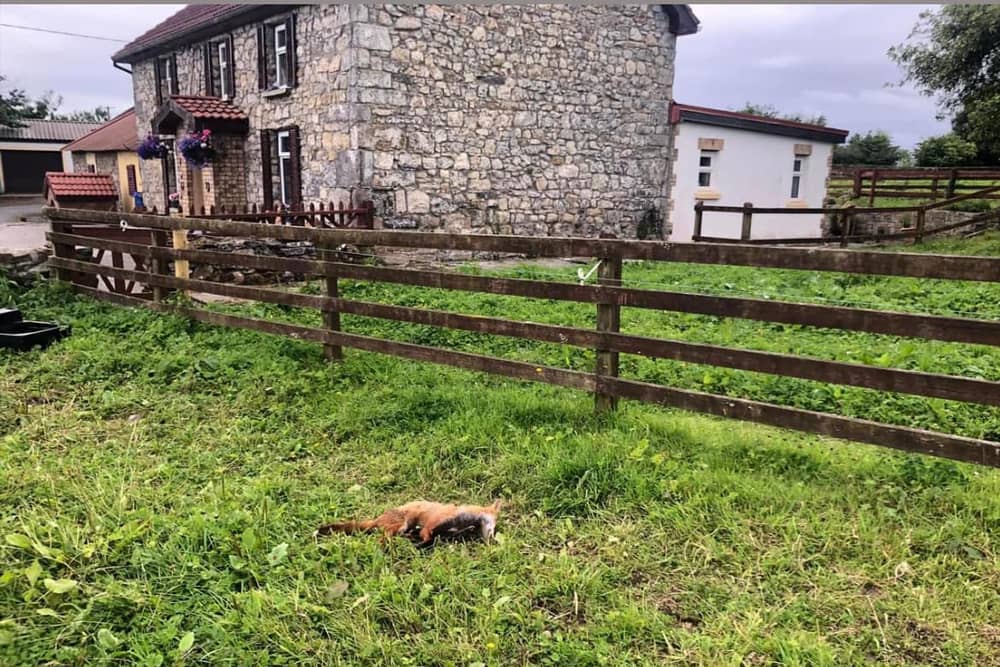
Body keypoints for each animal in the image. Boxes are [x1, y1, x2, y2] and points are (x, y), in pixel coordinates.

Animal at [316, 500, 502, 547]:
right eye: (493, 527)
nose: (492, 540)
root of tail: (378, 518)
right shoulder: (432, 523)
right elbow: (427, 536)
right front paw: (420, 545)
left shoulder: (444, 531)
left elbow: (432, 538)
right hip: (400, 526)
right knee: (383, 538)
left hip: (401, 528)